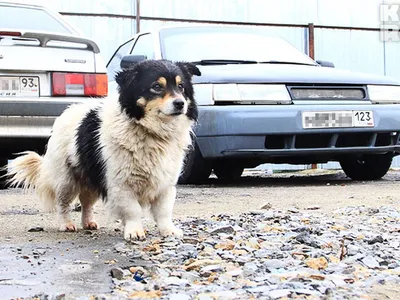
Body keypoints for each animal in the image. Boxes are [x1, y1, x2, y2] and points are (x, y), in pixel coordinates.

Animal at [5, 59, 202, 240]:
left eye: (181, 87)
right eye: (156, 86)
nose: (180, 103)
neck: (151, 132)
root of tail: (67, 111)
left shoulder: (165, 183)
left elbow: (163, 211)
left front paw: (168, 231)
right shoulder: (121, 184)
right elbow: (133, 210)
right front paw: (134, 231)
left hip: (92, 178)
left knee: (86, 203)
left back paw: (88, 223)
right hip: (66, 180)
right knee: (63, 204)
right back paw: (66, 224)